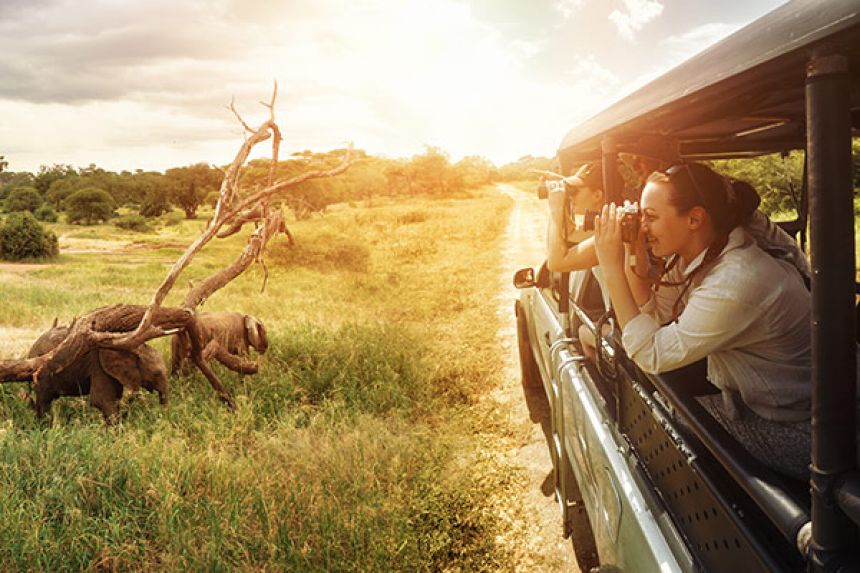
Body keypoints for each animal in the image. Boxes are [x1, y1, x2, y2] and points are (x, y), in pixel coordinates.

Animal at [26, 324, 170, 422]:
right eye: (156, 373)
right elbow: (101, 401)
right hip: (42, 375)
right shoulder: (99, 368)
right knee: (44, 401)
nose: (162, 416)